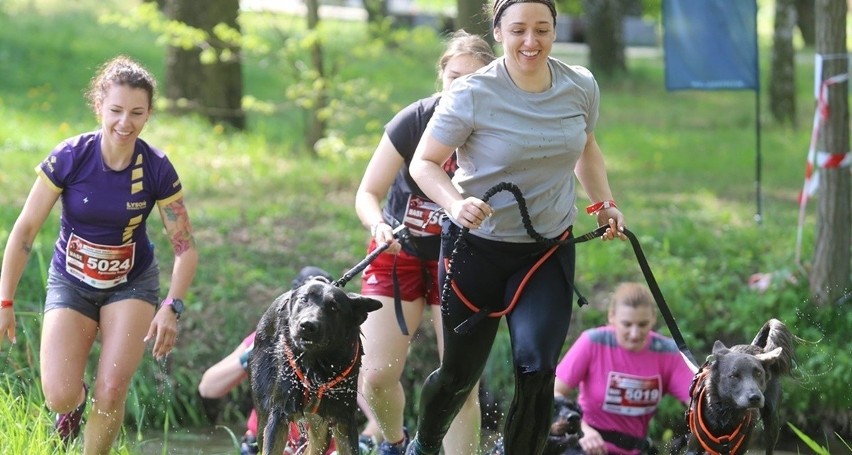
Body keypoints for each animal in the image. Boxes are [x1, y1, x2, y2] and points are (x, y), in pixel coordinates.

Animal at [250, 278, 382, 455]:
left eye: (334, 307)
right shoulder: (279, 414)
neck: (316, 365)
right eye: (303, 299)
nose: (307, 325)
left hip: (321, 428)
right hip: (264, 413)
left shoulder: (344, 418)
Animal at [684, 318, 796, 455]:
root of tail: (755, 346)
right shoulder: (694, 448)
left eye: (758, 373)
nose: (755, 398)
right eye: (733, 376)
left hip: (772, 421)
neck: (726, 414)